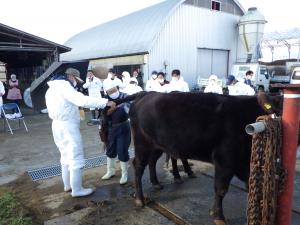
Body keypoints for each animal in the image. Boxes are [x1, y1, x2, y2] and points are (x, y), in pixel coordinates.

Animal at [116, 91, 282, 223]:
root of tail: (145, 93)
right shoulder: (225, 160)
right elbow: (221, 189)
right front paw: (218, 217)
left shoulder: (245, 164)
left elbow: (250, 185)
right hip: (142, 144)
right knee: (138, 166)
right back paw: (139, 199)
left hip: (158, 145)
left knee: (151, 162)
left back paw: (156, 183)